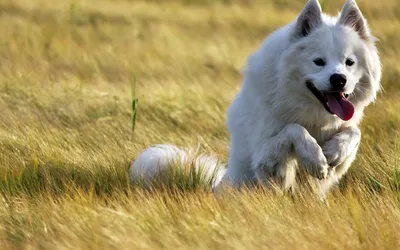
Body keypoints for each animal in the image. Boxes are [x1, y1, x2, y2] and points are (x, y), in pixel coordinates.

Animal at [130, 0, 382, 197]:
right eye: (318, 62)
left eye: (349, 62)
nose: (339, 79)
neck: (312, 114)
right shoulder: (264, 159)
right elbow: (294, 129)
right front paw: (316, 158)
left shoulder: (340, 156)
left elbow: (354, 132)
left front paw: (333, 151)